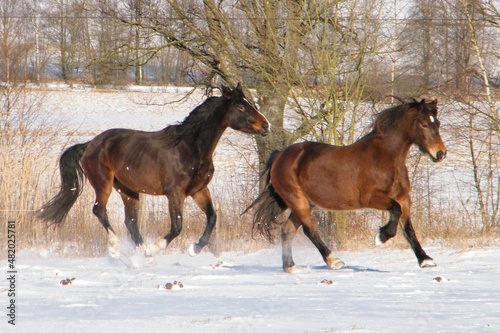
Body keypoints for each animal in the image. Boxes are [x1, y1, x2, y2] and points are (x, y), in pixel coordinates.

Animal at [40, 83, 270, 260]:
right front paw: (156, 247)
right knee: (99, 210)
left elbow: (212, 217)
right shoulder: (174, 194)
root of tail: (90, 144)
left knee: (130, 222)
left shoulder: (199, 191)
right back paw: (117, 247)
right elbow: (177, 226)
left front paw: (195, 248)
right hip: (103, 183)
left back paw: (142, 252)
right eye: (240, 107)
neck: (190, 149)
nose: (266, 125)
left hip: (128, 190)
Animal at [245, 98, 446, 272]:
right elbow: (395, 212)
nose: (440, 153)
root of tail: (280, 155)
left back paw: (291, 267)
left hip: (304, 203)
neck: (384, 158)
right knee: (310, 231)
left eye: (437, 123)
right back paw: (334, 261)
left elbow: (408, 229)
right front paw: (381, 237)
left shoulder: (404, 198)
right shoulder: (371, 198)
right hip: (297, 200)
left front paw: (425, 260)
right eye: (424, 124)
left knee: (287, 231)